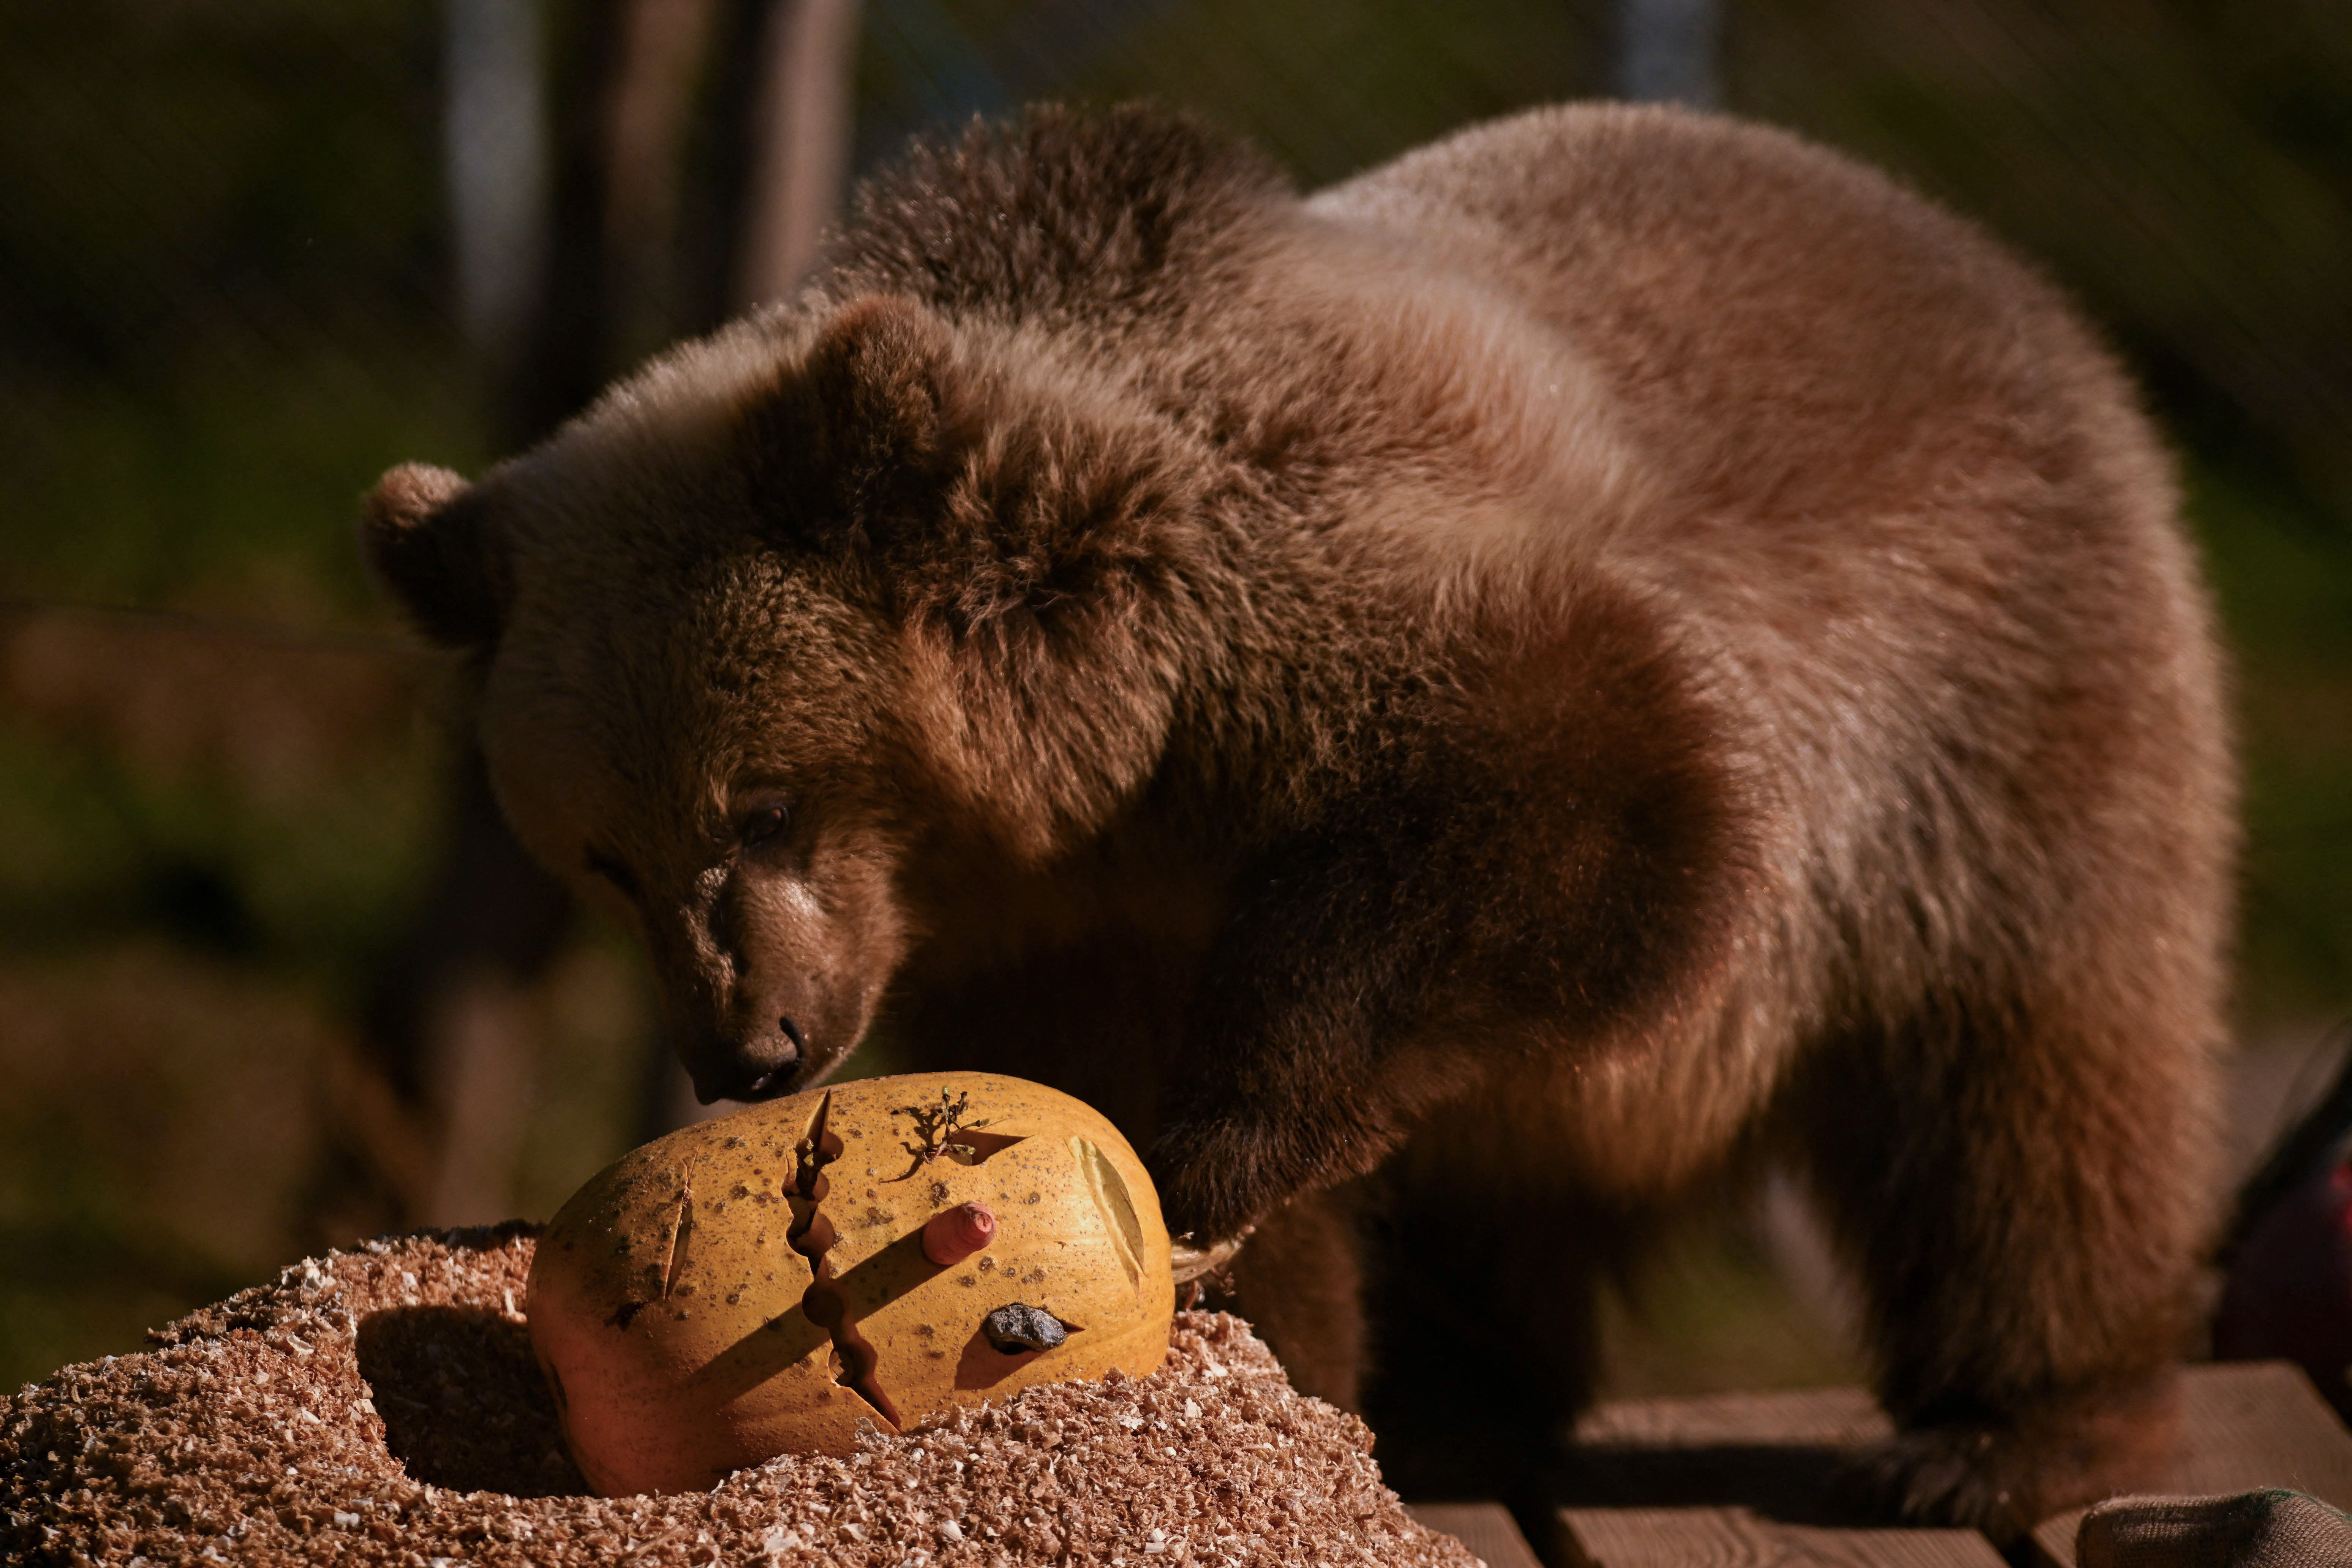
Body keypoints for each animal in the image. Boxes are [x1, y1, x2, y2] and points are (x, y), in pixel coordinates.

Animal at [359, 103, 2231, 1540]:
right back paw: (1461, 1388)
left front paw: (1215, 1163)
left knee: (2018, 1087)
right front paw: (1266, 1345)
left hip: (1986, 709)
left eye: (760, 803)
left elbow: (1570, 807)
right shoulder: (1069, 911)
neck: (1102, 770)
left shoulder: (1345, 586)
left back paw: (1996, 1432)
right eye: (604, 856)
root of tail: (1996, 269)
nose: (750, 1045)